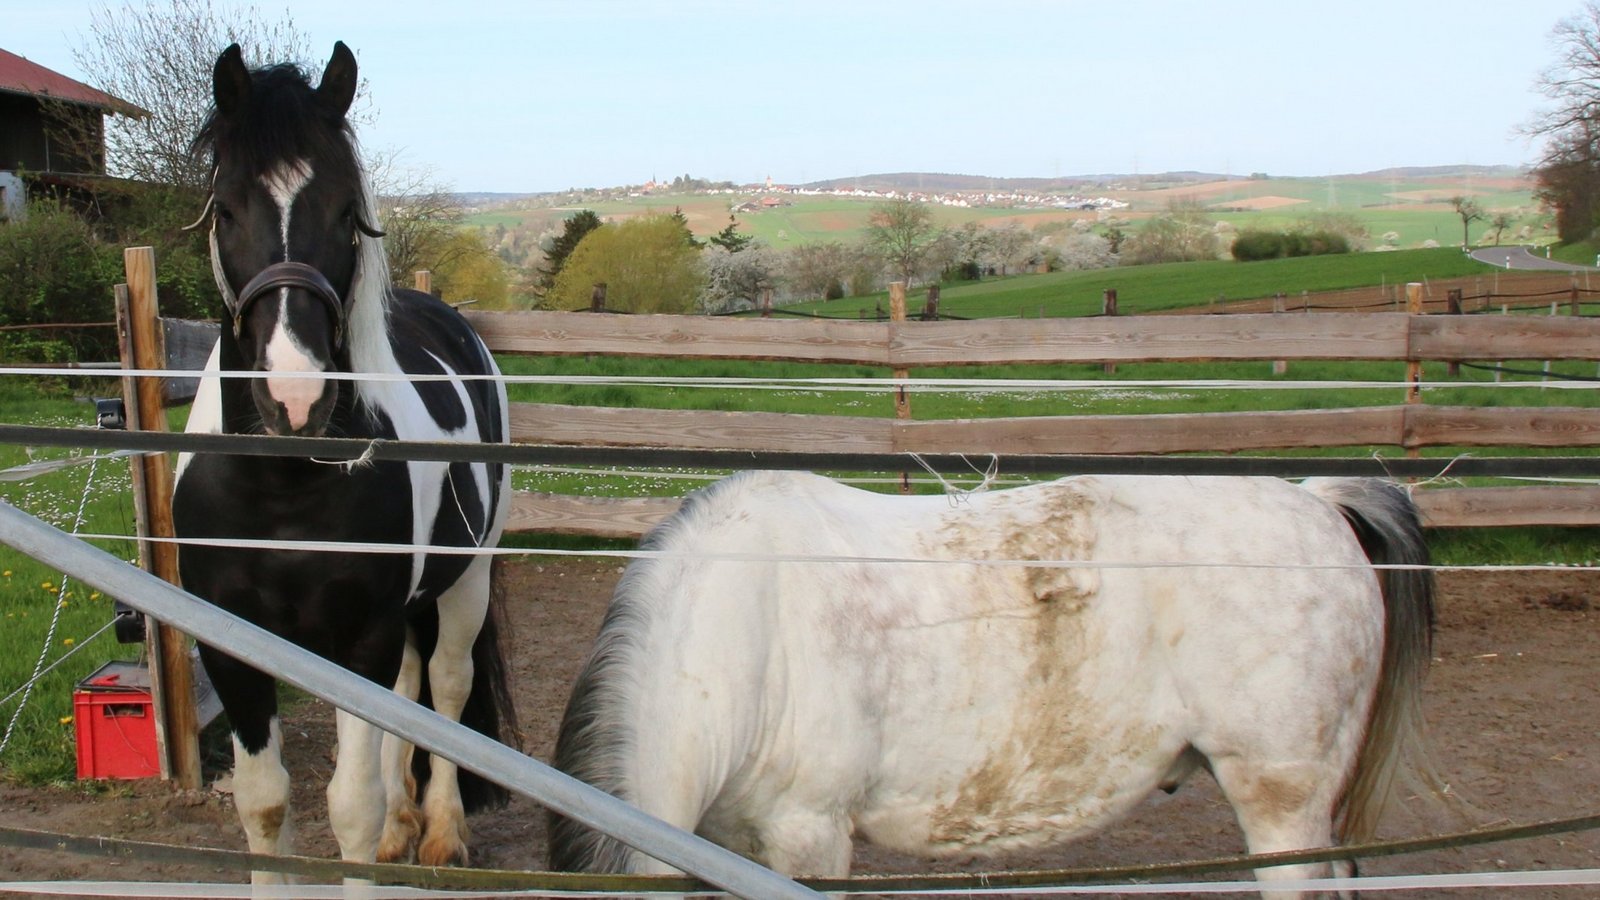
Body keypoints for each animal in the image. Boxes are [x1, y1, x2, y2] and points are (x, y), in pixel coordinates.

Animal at [171, 42, 515, 880]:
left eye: (346, 215)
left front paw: (390, 830)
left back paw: (439, 831)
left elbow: (350, 809)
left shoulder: (361, 636)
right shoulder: (229, 641)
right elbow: (264, 805)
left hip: (468, 578)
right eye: (225, 209)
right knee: (410, 690)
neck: (283, 485)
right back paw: (404, 823)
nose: (296, 398)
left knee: (446, 687)